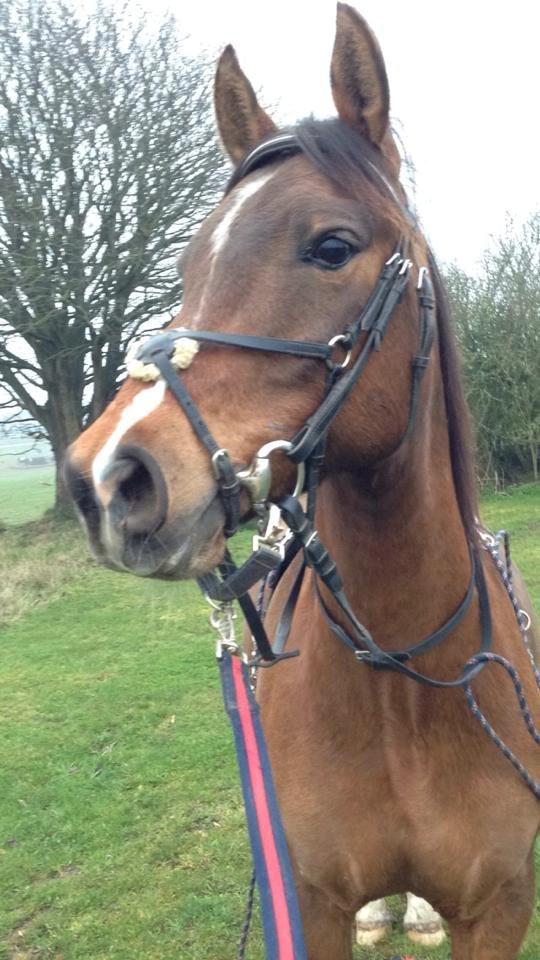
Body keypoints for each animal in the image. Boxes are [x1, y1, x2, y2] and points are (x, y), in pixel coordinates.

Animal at [65, 5, 539, 958]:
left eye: (332, 246)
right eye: (188, 268)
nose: (109, 478)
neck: (406, 677)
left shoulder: (501, 908)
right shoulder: (313, 903)